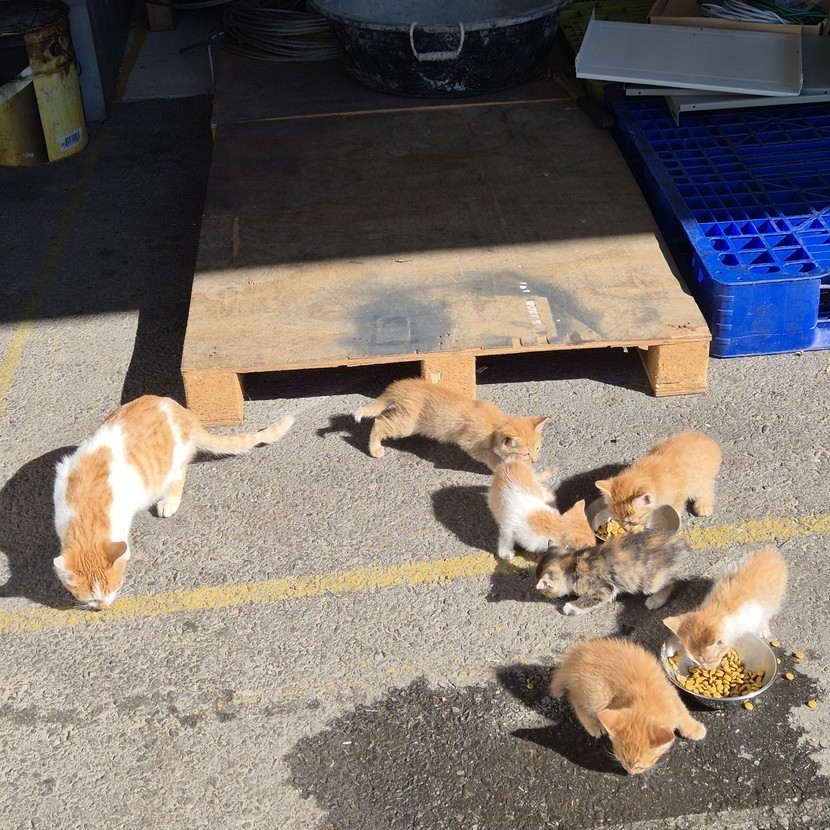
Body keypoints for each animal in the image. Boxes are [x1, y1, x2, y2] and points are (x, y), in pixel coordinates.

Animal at [53, 395, 294, 610]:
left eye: (114, 587)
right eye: (90, 598)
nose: (102, 607)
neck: (86, 511)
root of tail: (182, 411)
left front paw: (126, 552)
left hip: (174, 461)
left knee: (179, 475)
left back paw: (169, 502)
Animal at [353, 377, 547, 471]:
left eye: (538, 449)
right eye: (526, 453)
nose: (535, 460)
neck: (494, 424)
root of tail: (402, 385)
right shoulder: (470, 444)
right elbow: (491, 456)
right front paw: (502, 464)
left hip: (402, 415)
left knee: (382, 416)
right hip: (406, 424)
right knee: (379, 422)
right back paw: (375, 448)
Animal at [535, 529, 689, 615]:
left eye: (545, 590)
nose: (544, 596)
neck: (572, 562)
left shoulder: (603, 588)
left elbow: (589, 600)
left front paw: (571, 606)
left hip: (651, 581)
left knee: (671, 580)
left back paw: (656, 600)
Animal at [549, 637, 707, 775]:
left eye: (639, 767)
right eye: (622, 761)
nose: (630, 774)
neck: (649, 699)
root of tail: (573, 658)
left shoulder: (672, 694)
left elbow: (683, 712)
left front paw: (693, 728)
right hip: (597, 695)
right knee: (573, 697)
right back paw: (593, 725)